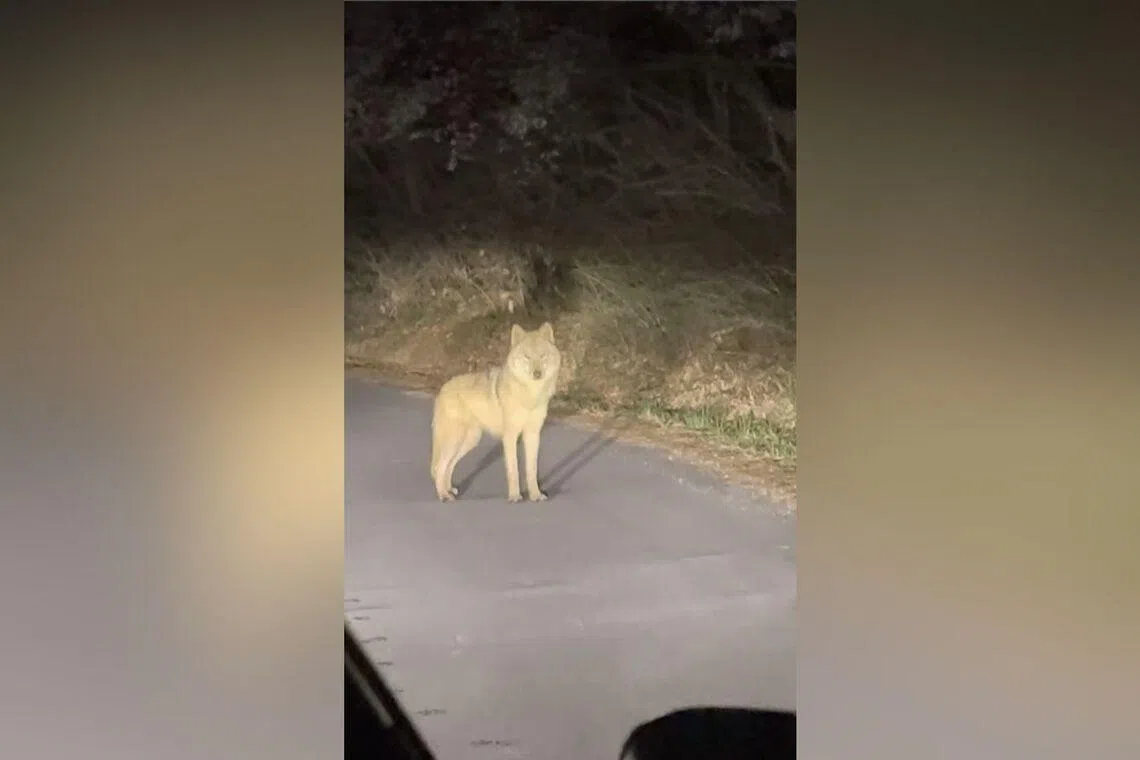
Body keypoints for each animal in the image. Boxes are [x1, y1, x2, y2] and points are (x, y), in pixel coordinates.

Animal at [429, 322, 562, 503]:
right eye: (527, 357)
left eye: (542, 356)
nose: (537, 374)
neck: (530, 395)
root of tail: (443, 389)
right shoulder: (510, 436)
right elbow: (513, 470)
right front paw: (515, 496)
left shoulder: (533, 434)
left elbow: (532, 470)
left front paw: (536, 495)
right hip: (455, 440)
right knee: (439, 467)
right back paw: (443, 495)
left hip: (470, 441)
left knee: (448, 465)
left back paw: (449, 490)